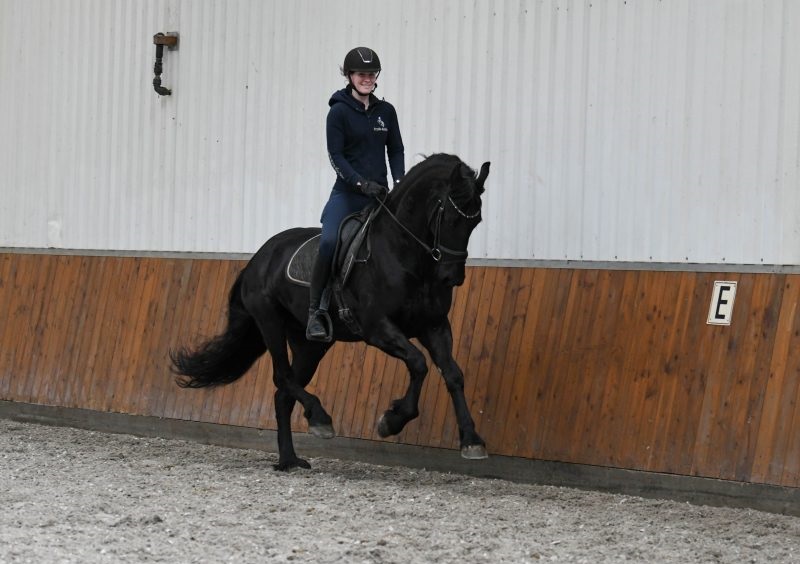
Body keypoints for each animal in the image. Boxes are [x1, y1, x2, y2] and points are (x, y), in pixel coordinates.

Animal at [170, 153, 491, 471]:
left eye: (476, 222)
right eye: (450, 219)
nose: (452, 277)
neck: (405, 254)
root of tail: (258, 257)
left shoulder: (434, 326)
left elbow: (453, 374)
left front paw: (472, 440)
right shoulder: (378, 328)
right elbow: (419, 363)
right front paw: (392, 420)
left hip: (309, 345)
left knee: (283, 393)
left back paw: (290, 459)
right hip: (270, 322)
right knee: (282, 377)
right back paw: (320, 418)